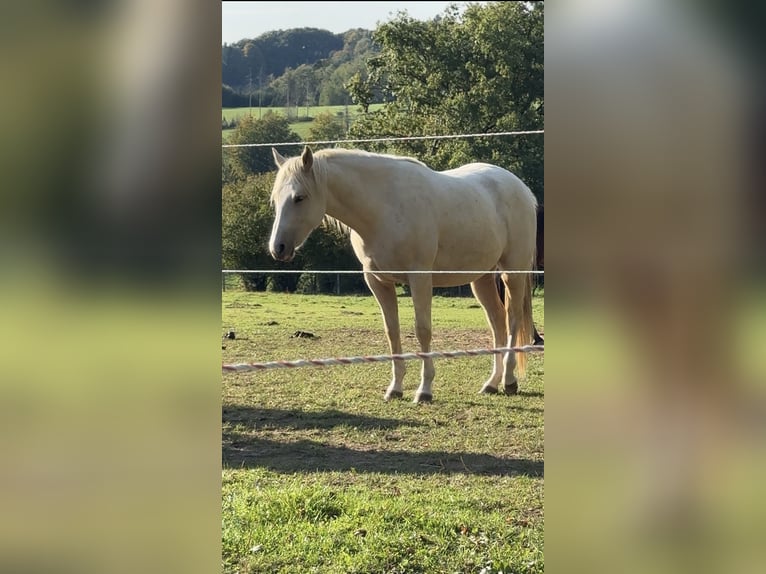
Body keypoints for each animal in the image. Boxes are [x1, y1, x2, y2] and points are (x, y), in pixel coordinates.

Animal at [268, 145, 538, 403]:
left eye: (299, 197)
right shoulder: (378, 282)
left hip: (512, 273)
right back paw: (492, 383)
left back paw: (509, 381)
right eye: (275, 199)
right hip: (481, 278)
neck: (383, 208)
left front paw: (424, 390)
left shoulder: (419, 278)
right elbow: (392, 332)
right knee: (497, 323)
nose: (277, 248)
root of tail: (522, 189)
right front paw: (395, 389)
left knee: (512, 320)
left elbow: (422, 330)